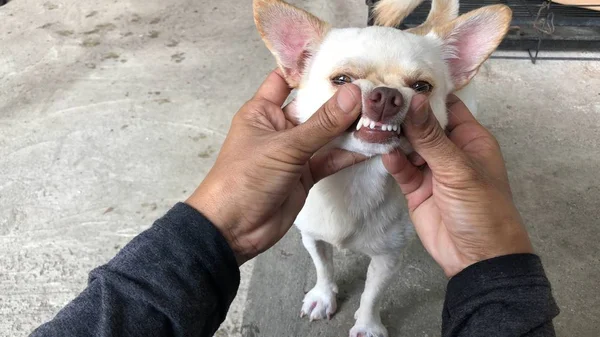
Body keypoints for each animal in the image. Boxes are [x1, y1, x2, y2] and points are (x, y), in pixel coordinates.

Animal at [253, 1, 510, 334]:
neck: (357, 176)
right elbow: (323, 266)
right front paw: (323, 296)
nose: (387, 95)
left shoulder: (387, 257)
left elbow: (372, 294)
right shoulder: (311, 236)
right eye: (342, 81)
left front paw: (367, 326)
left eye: (421, 87)